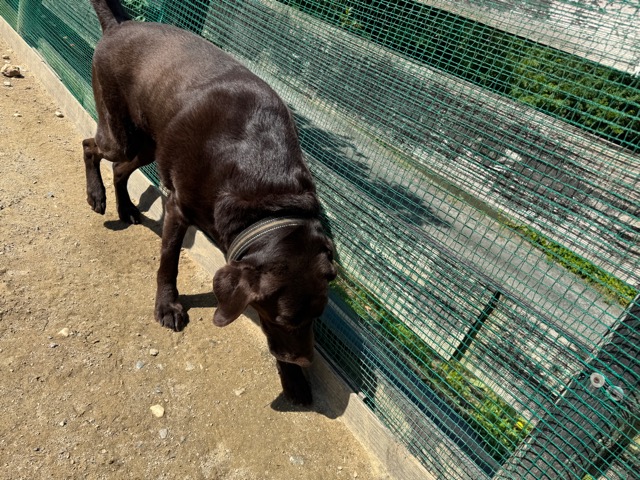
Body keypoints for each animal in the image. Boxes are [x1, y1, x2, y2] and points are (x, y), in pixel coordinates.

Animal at [84, 0, 336, 405]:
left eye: (318, 315)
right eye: (283, 319)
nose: (304, 362)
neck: (265, 190)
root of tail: (119, 25)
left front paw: (294, 380)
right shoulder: (177, 208)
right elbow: (167, 264)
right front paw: (167, 306)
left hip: (147, 146)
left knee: (121, 168)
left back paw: (126, 208)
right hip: (120, 134)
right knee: (91, 147)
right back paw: (97, 197)